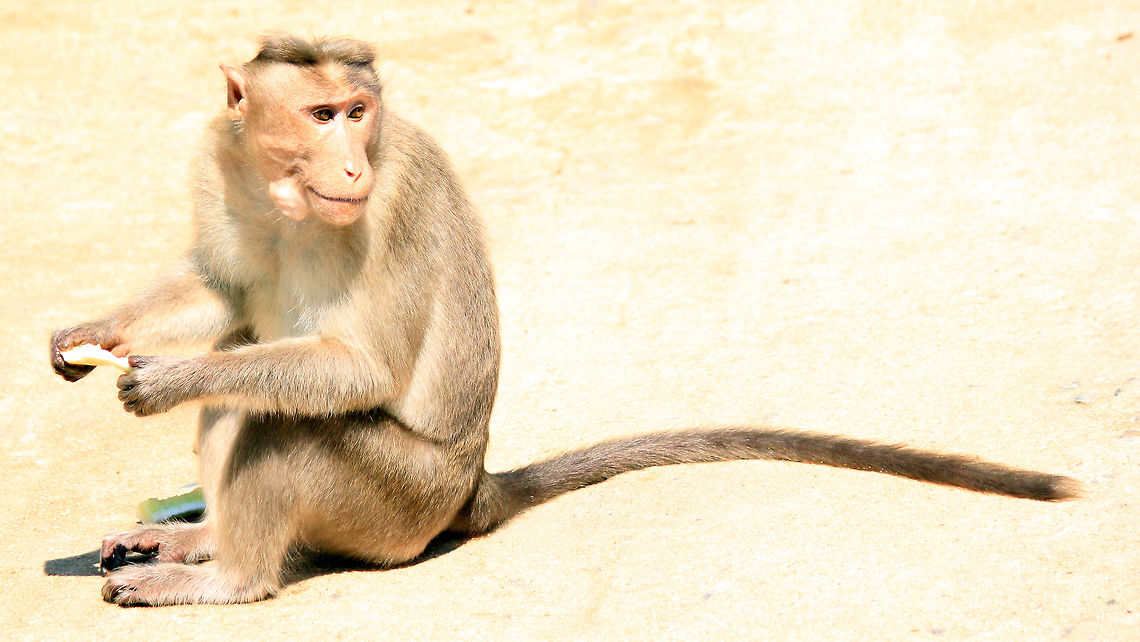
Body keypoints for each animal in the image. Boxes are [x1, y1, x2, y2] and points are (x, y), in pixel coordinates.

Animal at [49, 35, 1082, 607]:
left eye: (357, 113)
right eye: (317, 114)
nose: (349, 163)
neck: (286, 193)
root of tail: (471, 491)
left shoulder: (388, 201)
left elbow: (358, 368)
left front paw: (170, 379)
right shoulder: (217, 162)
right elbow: (222, 289)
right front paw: (88, 336)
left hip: (397, 504)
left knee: (280, 419)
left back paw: (225, 575)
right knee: (250, 361)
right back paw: (200, 540)